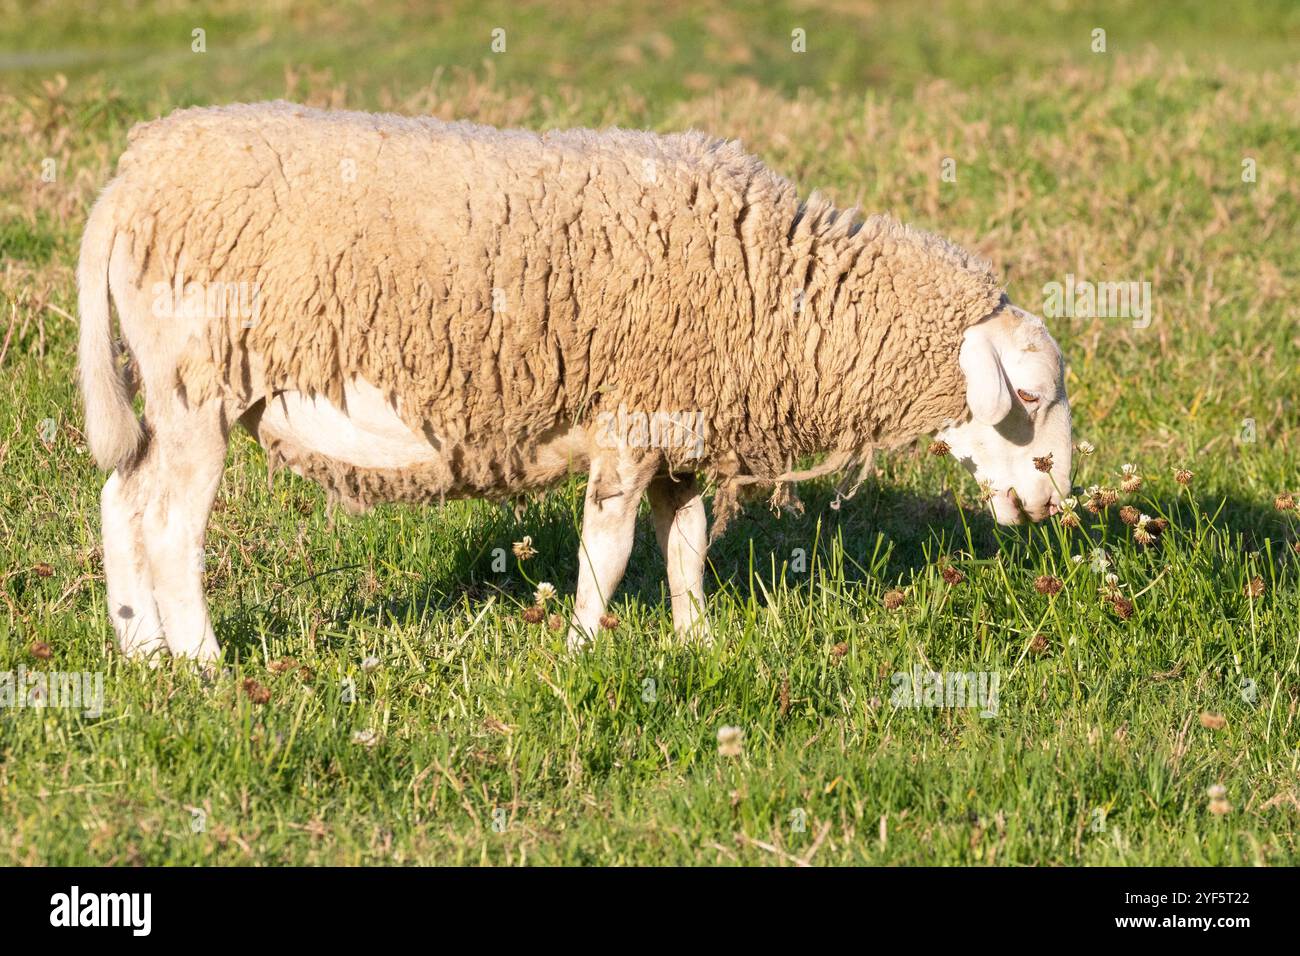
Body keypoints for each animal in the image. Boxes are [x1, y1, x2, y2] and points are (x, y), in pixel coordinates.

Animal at [78, 102, 1073, 661]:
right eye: (1025, 399)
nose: (1050, 503)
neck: (778, 292)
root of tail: (127, 178)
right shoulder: (633, 418)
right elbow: (610, 547)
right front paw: (585, 648)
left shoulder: (680, 425)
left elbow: (685, 543)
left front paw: (694, 640)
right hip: (196, 378)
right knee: (168, 525)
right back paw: (204, 663)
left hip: (168, 386)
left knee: (122, 498)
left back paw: (141, 651)